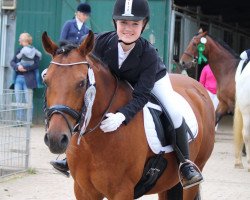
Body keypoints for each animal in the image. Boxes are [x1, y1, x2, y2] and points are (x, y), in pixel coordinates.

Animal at [42, 30, 214, 199]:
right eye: (46, 81)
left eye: (81, 83)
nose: (55, 139)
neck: (93, 142)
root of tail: (197, 87)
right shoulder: (83, 190)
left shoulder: (122, 190)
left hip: (192, 179)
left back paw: (189, 170)